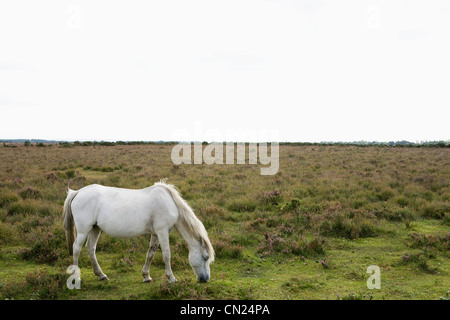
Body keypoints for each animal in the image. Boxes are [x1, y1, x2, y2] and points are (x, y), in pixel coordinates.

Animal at [62, 181, 214, 284]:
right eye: (206, 257)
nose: (205, 279)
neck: (170, 203)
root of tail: (77, 192)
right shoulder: (162, 232)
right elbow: (166, 255)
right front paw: (171, 277)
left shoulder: (155, 234)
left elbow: (151, 253)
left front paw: (146, 276)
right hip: (84, 230)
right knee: (76, 248)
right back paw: (76, 276)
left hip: (95, 228)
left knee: (90, 248)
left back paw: (101, 275)